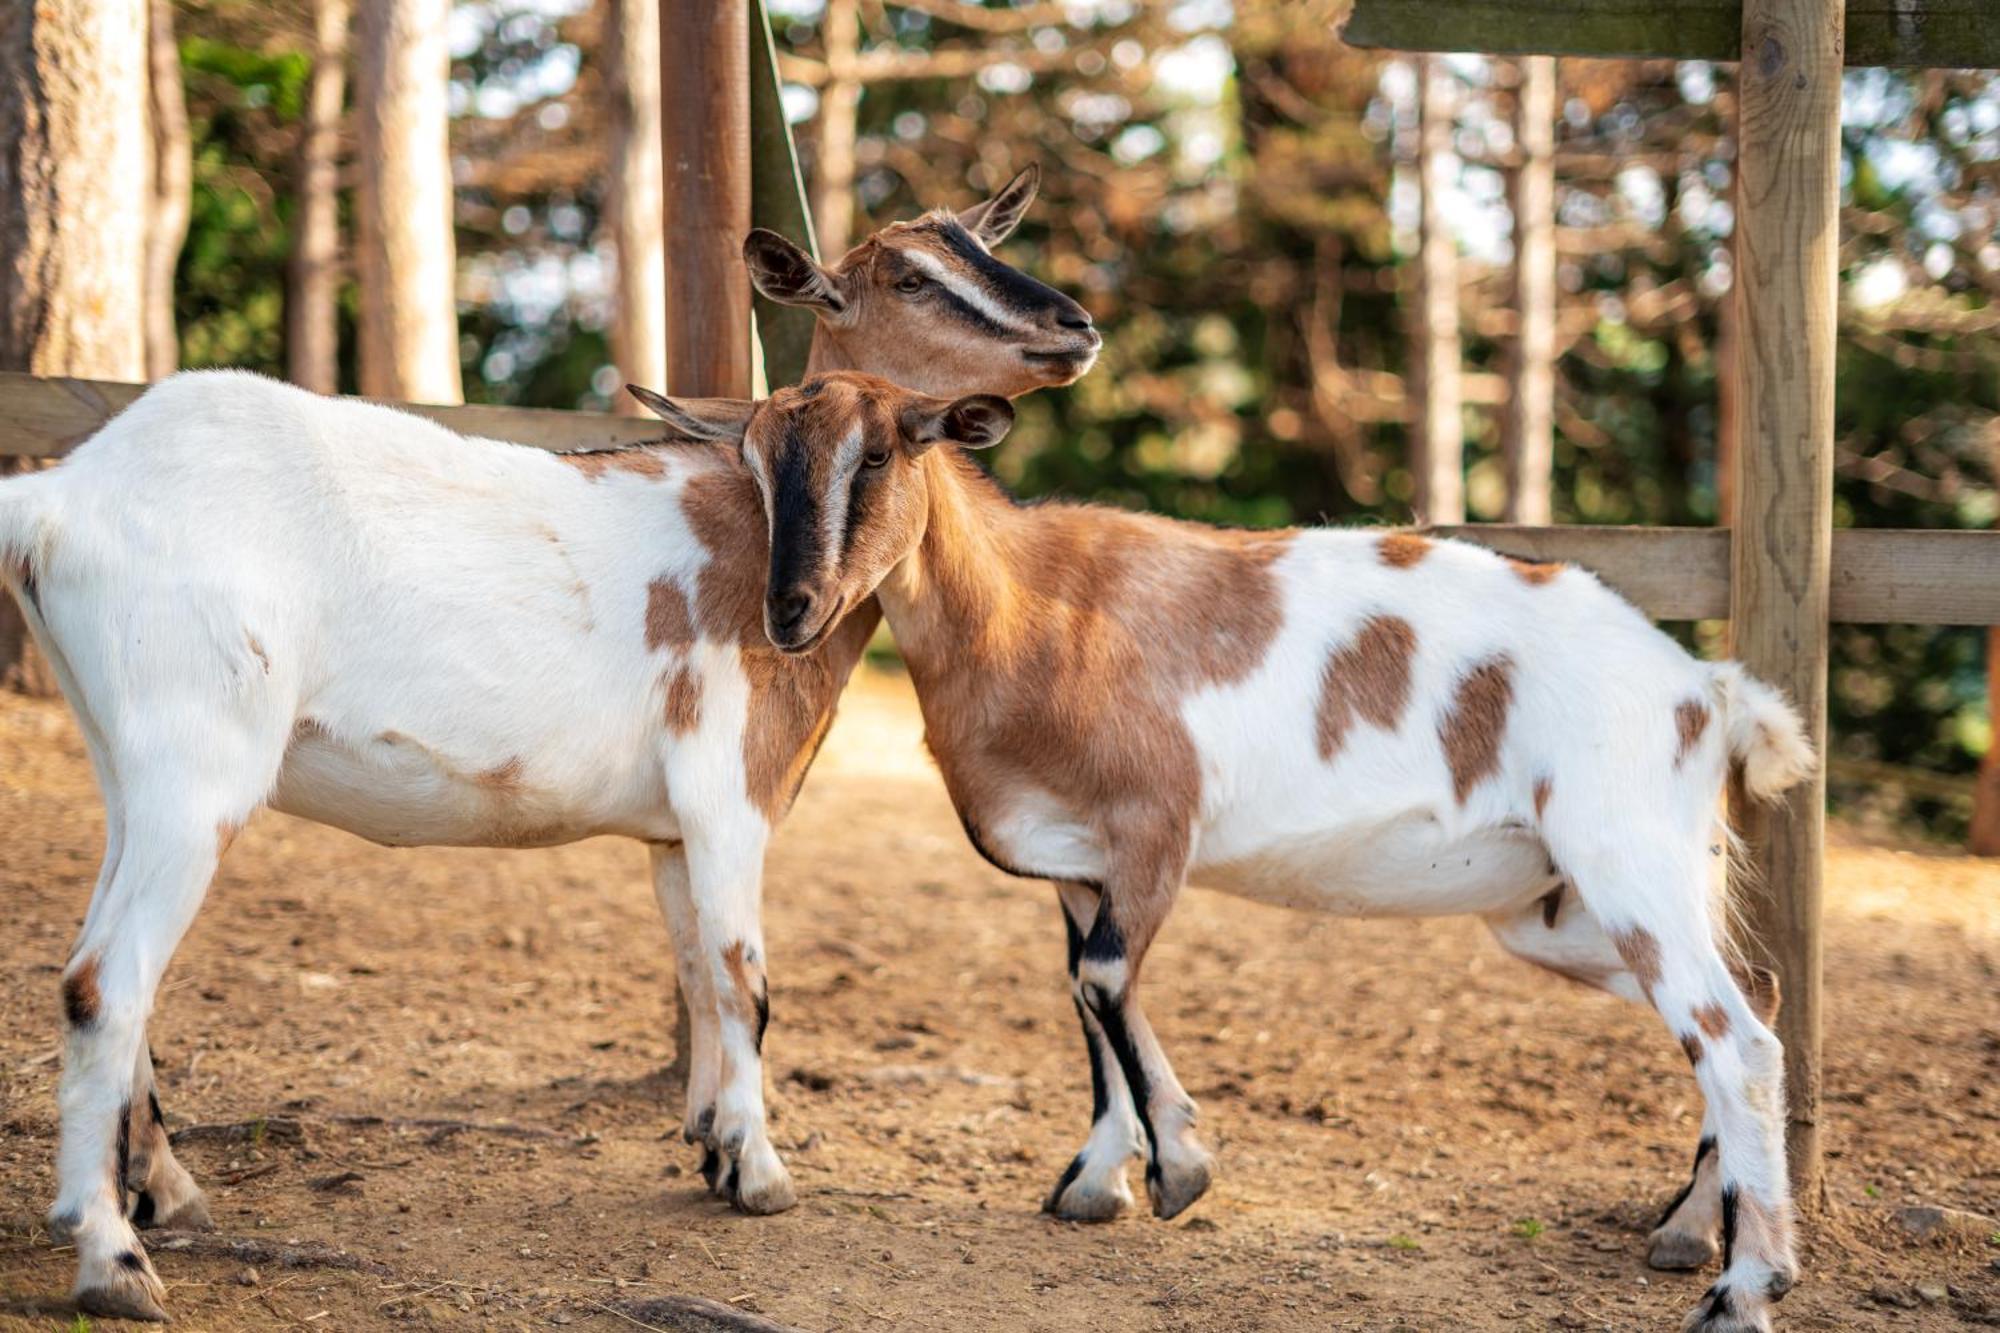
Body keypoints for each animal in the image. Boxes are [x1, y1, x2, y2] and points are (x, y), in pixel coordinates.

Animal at [0, 169, 1096, 1320]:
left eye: (982, 241)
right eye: (909, 277)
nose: (1075, 328)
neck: (749, 532)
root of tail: (57, 498)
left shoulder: (671, 833)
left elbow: (694, 968)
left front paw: (710, 1142)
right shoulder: (729, 798)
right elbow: (745, 977)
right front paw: (759, 1173)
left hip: (129, 766)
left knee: (104, 968)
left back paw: (164, 1190)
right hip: (196, 770)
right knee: (104, 981)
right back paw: (113, 1259)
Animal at [648, 376, 1824, 1328]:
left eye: (883, 451)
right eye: (753, 459)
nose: (790, 611)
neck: (1035, 609)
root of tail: (1703, 689)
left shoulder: (1153, 826)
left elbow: (1101, 981)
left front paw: (1179, 1167)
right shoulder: (1079, 864)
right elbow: (1087, 1000)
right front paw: (1100, 1177)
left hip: (1627, 859)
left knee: (1736, 1039)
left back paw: (1743, 1288)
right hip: (1567, 906)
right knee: (1753, 999)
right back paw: (1687, 1229)